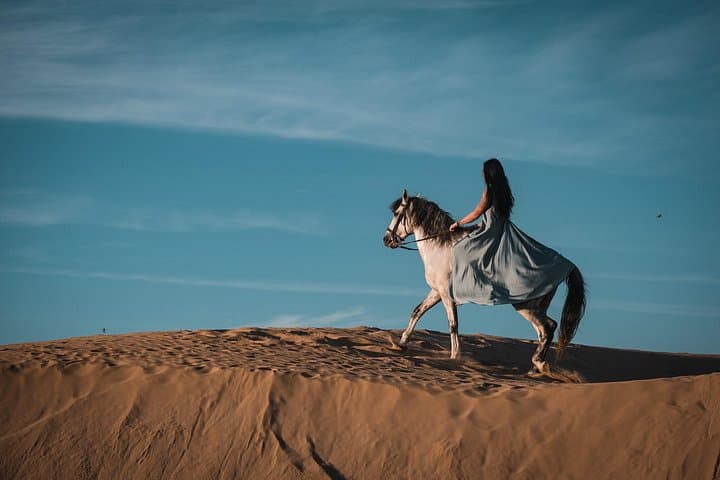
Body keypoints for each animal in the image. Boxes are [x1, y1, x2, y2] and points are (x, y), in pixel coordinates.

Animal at [383, 189, 586, 375]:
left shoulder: (447, 295)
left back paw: (539, 364)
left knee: (547, 327)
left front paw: (455, 357)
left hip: (525, 304)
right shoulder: (437, 292)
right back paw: (535, 368)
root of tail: (564, 264)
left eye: (397, 213)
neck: (440, 247)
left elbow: (453, 324)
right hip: (537, 305)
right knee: (544, 330)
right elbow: (417, 311)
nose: (386, 239)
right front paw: (401, 343)